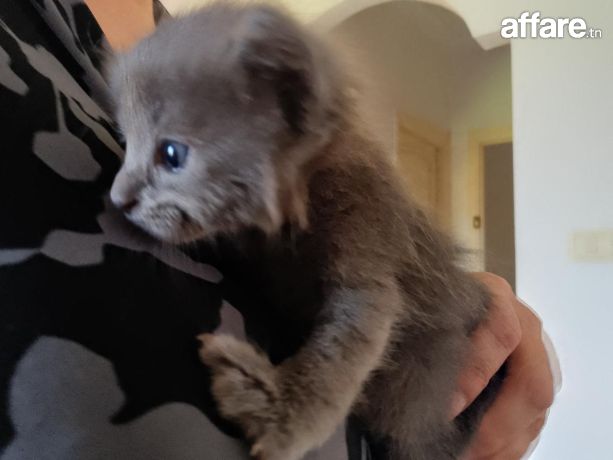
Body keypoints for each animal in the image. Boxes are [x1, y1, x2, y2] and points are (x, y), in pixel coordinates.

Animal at [107, 3, 503, 459]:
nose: (117, 198)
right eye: (126, 141)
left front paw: (277, 412)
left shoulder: (368, 243)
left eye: (171, 154)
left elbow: (341, 353)